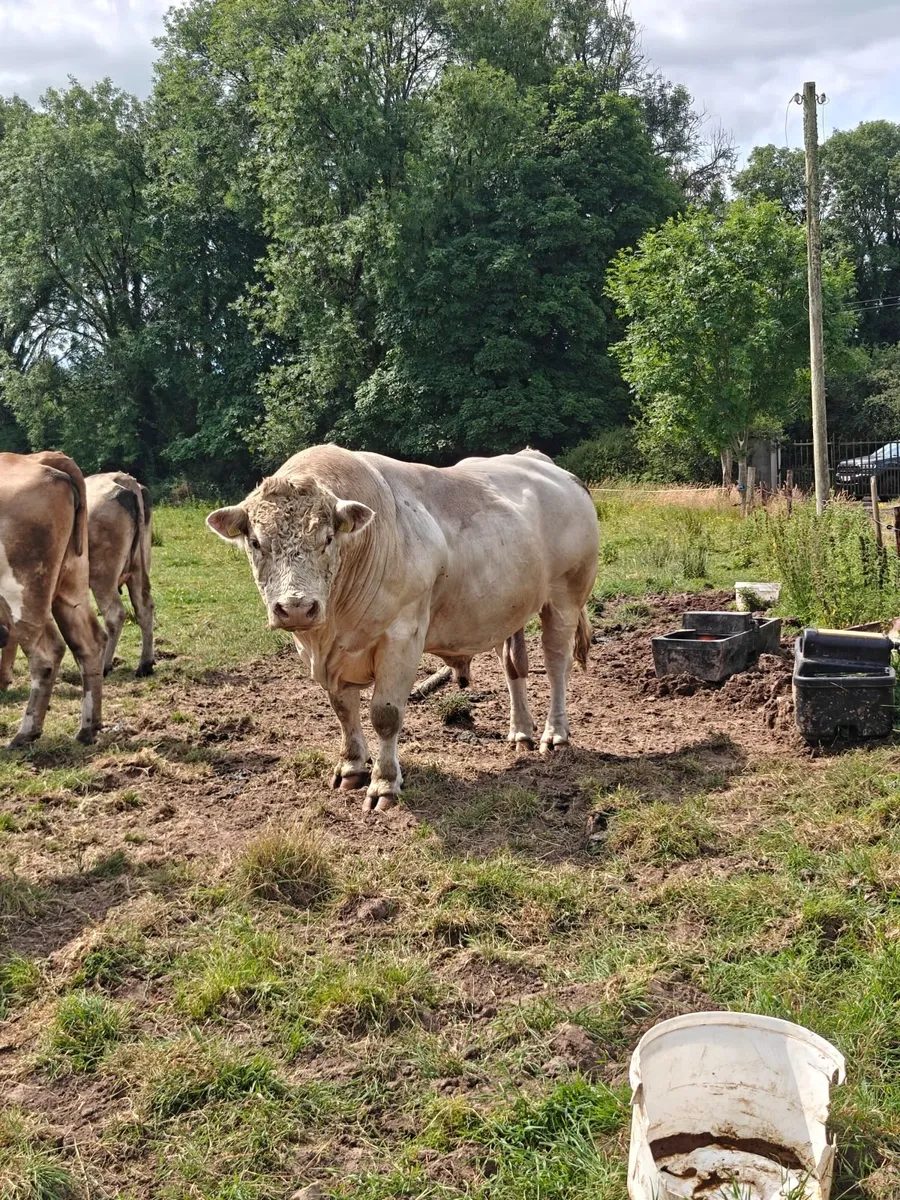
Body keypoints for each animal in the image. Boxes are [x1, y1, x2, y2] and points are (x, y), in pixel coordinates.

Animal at [0, 452, 107, 747]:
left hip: (22, 593)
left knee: (46, 654)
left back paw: (25, 732)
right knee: (90, 642)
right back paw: (88, 728)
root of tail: (38, 459)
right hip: (71, 585)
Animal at [207, 444, 599, 812]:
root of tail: (543, 462)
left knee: (556, 664)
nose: (297, 608)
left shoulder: (402, 636)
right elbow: (343, 710)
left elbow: (385, 715)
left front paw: (384, 784)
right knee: (513, 666)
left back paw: (555, 734)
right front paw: (351, 767)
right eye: (256, 542)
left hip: (564, 598)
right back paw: (520, 732)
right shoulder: (330, 657)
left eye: (328, 539)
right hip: (509, 606)